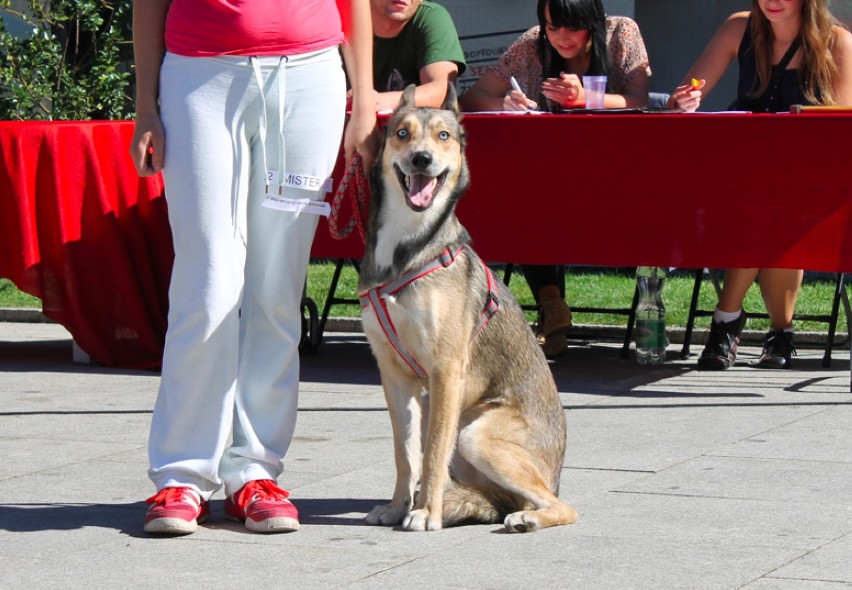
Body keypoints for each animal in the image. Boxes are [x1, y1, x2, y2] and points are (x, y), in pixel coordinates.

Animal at [356, 84, 576, 536]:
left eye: (443, 136)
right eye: (402, 133)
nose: (421, 159)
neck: (407, 250)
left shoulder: (445, 370)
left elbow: (432, 452)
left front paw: (426, 512)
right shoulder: (394, 375)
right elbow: (407, 453)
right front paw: (398, 506)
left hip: (476, 434)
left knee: (562, 506)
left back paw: (528, 517)